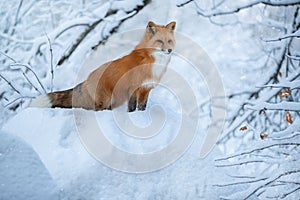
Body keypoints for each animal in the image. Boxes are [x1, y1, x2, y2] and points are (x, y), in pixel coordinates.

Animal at [29, 21, 176, 111]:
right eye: (159, 41)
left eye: (169, 41)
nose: (169, 50)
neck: (151, 62)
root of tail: (87, 79)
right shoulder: (133, 88)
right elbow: (132, 108)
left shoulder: (146, 89)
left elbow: (142, 107)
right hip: (105, 100)